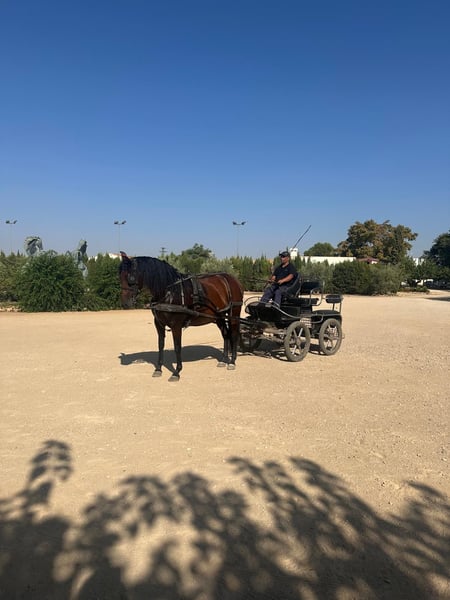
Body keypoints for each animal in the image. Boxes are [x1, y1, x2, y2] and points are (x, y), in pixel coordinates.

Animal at [119, 252, 244, 381]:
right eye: (120, 276)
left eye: (130, 277)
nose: (125, 303)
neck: (170, 292)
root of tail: (231, 279)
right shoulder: (159, 324)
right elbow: (160, 345)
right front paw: (158, 369)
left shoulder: (176, 325)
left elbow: (177, 347)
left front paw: (176, 372)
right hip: (218, 316)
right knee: (225, 334)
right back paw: (224, 359)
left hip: (234, 314)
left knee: (233, 334)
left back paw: (232, 361)